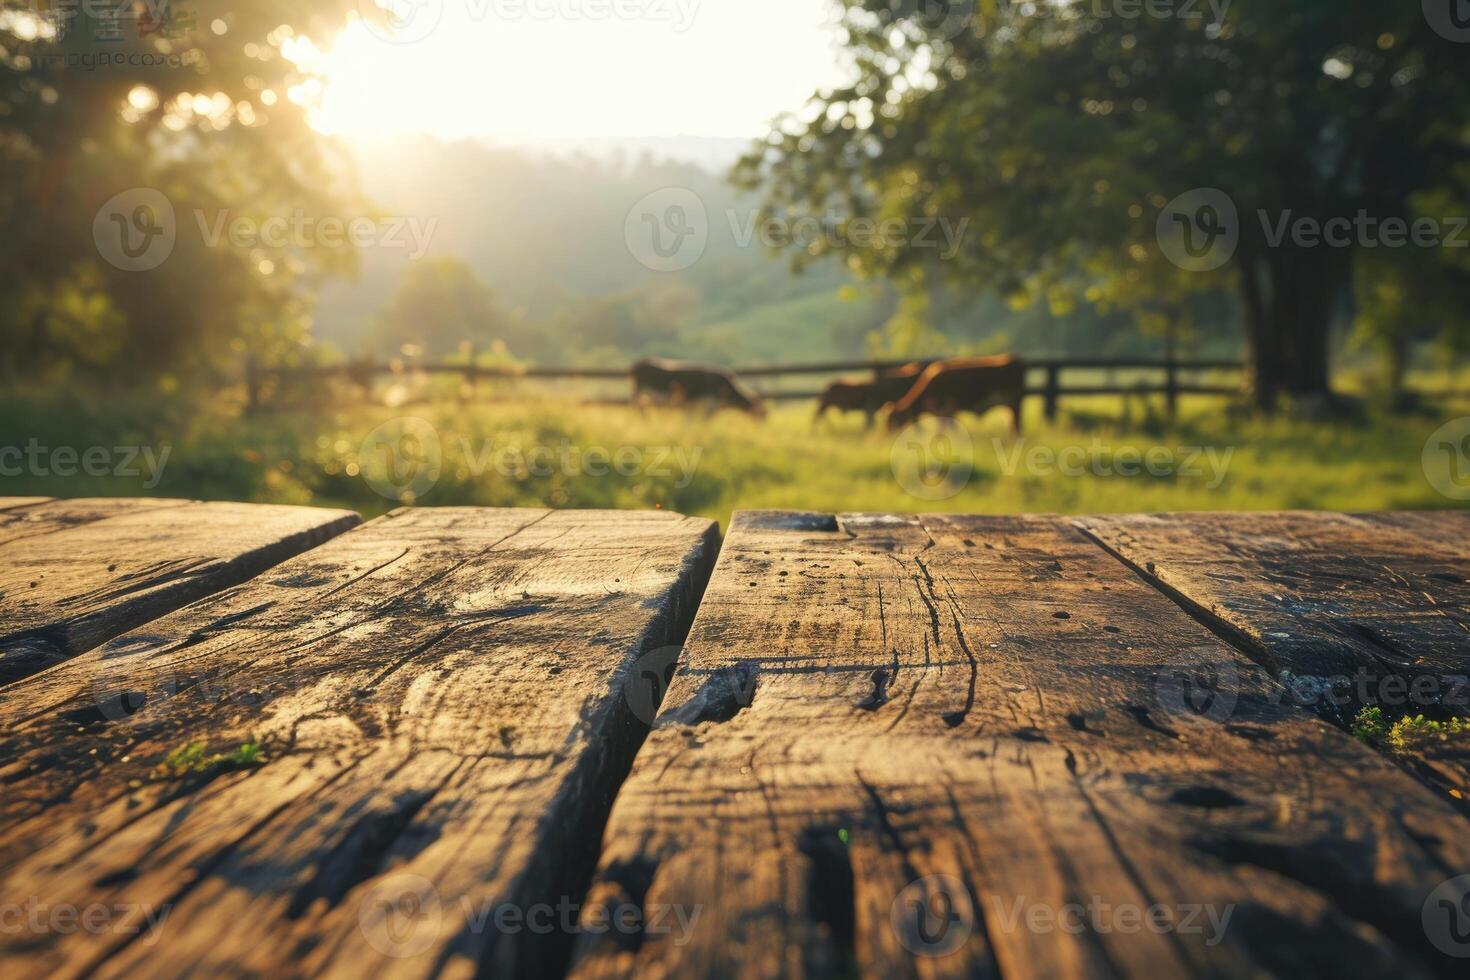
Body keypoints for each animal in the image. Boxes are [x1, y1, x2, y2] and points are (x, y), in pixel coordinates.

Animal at [876, 352, 1029, 429]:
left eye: (892, 420)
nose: (886, 439)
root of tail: (1013, 358)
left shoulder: (946, 410)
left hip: (1015, 401)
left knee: (1017, 424)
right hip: (1009, 405)